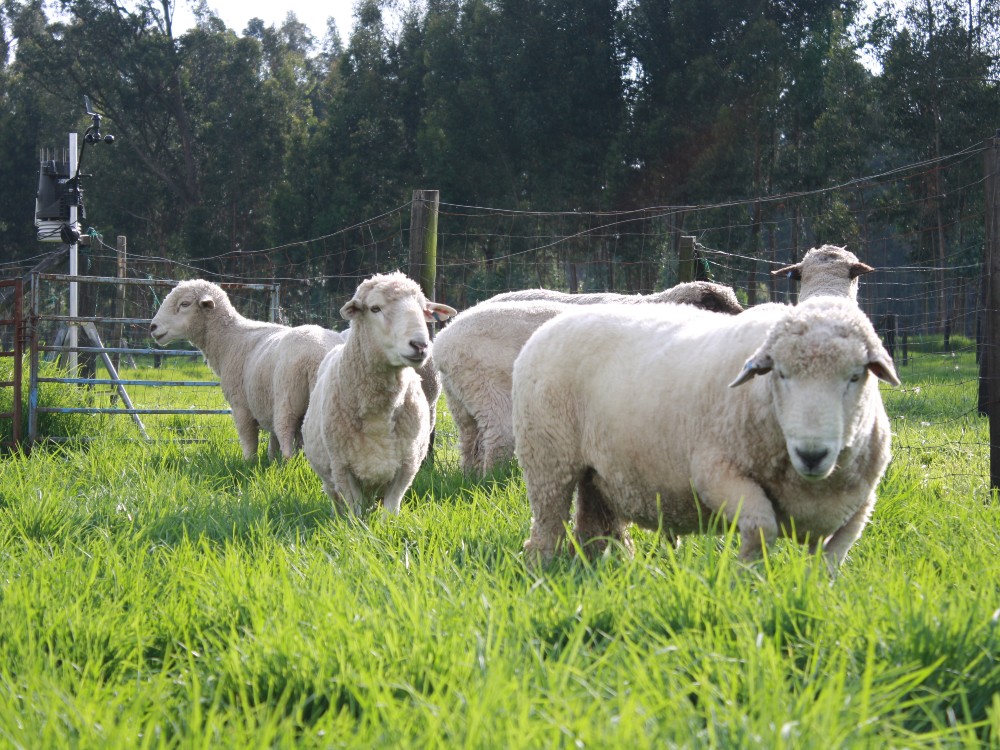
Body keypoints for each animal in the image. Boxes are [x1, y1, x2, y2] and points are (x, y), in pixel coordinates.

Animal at [148, 280, 344, 462]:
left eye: (185, 304)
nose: (153, 327)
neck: (228, 339)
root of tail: (319, 355)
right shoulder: (267, 404)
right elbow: (273, 443)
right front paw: (271, 460)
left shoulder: (241, 405)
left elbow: (249, 440)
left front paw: (249, 463)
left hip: (287, 400)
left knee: (287, 441)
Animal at [302, 272, 458, 516]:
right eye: (375, 308)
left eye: (423, 309)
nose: (420, 345)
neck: (380, 414)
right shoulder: (342, 468)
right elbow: (355, 514)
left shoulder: (406, 466)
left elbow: (390, 512)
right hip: (329, 477)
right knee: (335, 498)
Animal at [436, 282, 744, 476]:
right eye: (713, 304)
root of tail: (444, 341)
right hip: (491, 392)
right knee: (497, 438)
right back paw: (492, 479)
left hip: (461, 399)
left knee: (470, 441)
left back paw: (470, 476)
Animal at [512, 296, 904, 568]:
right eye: (781, 373)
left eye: (855, 376)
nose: (812, 454)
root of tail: (552, 324)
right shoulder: (717, 474)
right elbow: (761, 529)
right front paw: (747, 579)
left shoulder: (858, 509)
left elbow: (830, 561)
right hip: (547, 458)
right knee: (548, 523)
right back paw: (542, 567)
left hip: (597, 471)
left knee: (595, 522)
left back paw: (604, 563)